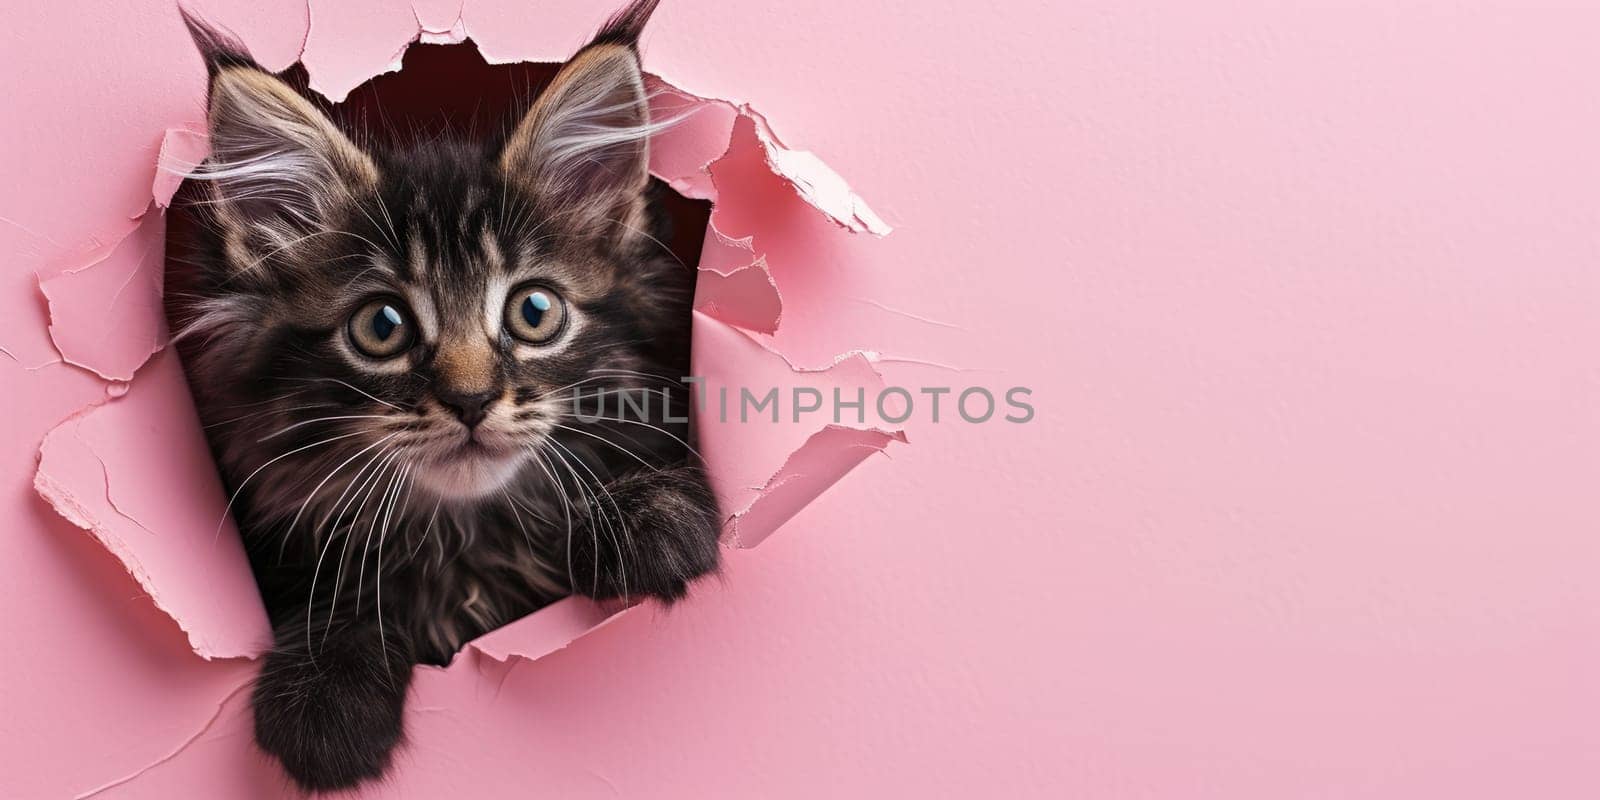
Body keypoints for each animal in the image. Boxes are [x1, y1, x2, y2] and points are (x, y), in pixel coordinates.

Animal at [172, 0, 716, 787]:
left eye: (534, 311)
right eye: (382, 326)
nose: (471, 400)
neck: (462, 545)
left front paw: (651, 520)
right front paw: (326, 701)